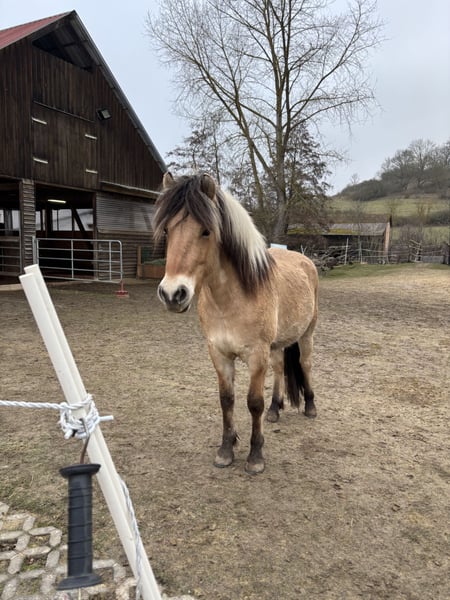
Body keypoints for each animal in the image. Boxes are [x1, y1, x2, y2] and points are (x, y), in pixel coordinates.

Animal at [152, 172, 319, 474]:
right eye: (168, 231)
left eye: (206, 231)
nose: (172, 294)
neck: (232, 299)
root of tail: (304, 260)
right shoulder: (219, 353)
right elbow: (226, 400)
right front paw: (226, 450)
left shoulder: (256, 355)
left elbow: (253, 403)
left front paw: (255, 456)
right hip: (277, 345)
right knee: (280, 369)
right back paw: (275, 409)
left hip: (307, 334)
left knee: (305, 364)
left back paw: (311, 407)